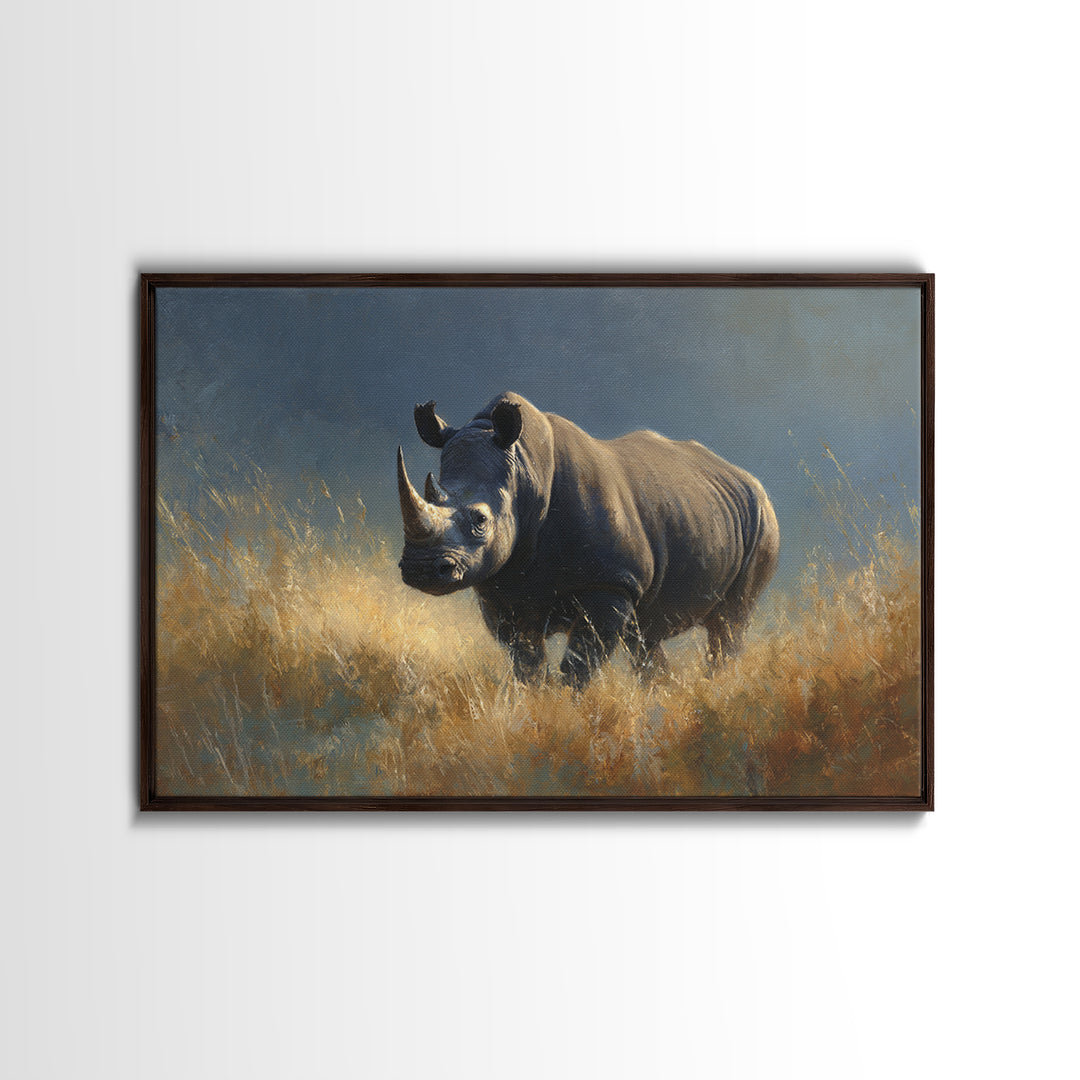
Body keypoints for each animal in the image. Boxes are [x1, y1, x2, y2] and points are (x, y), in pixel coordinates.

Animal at [397, 392, 779, 689]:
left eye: (480, 521)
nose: (420, 569)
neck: (524, 473)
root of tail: (746, 477)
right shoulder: (502, 590)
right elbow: (526, 663)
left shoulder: (611, 582)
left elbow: (579, 664)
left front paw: (569, 710)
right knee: (644, 636)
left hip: (763, 520)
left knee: (729, 623)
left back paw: (716, 688)